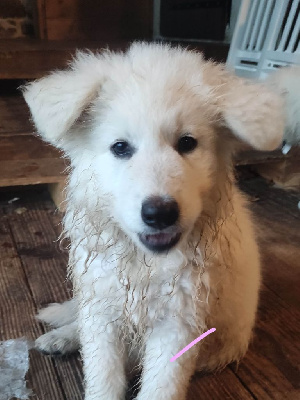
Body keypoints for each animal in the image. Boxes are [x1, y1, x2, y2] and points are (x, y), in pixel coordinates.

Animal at [23, 43, 284, 400]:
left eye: (187, 143)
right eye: (120, 147)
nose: (160, 213)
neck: (143, 264)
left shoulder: (179, 321)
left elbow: (161, 386)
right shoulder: (103, 304)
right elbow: (102, 375)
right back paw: (61, 336)